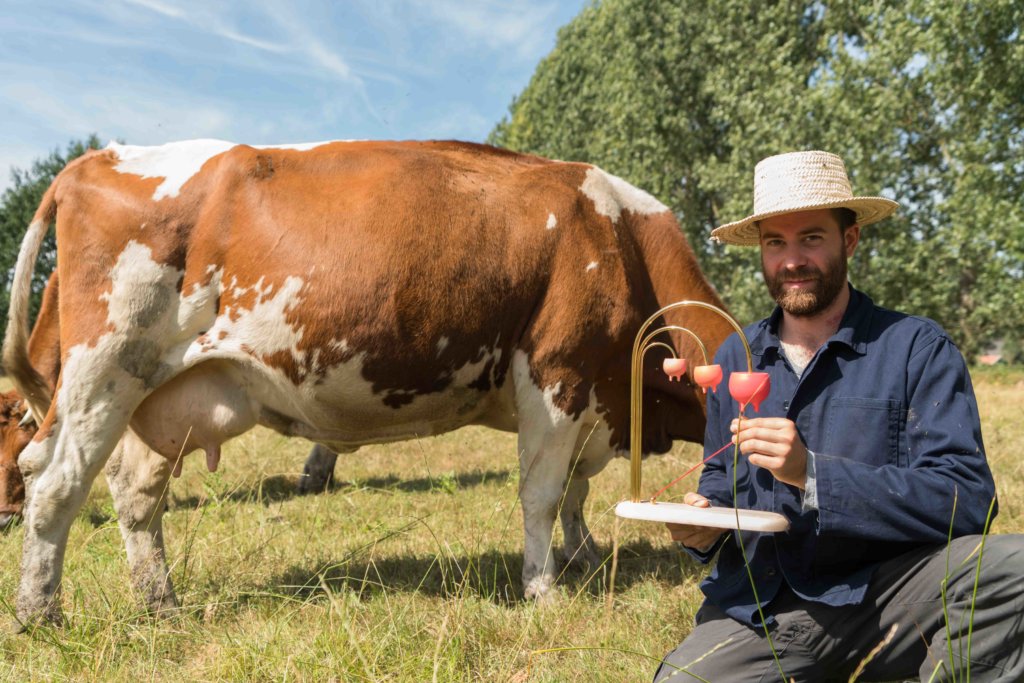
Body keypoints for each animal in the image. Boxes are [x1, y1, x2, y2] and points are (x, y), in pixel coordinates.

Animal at [4, 139, 733, 626]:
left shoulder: (593, 402)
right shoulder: (557, 375)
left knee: (134, 493)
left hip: (160, 393)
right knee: (57, 481)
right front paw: (543, 588)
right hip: (105, 370)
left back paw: (161, 604)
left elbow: (578, 489)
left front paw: (584, 554)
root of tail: (93, 160)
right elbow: (543, 495)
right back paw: (41, 613)